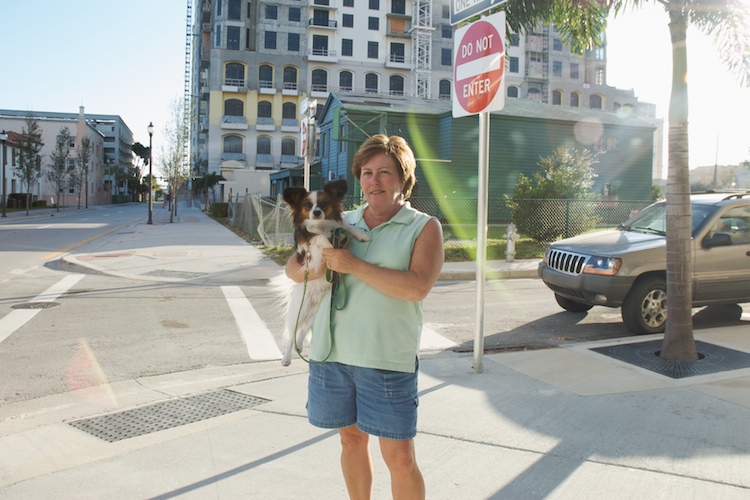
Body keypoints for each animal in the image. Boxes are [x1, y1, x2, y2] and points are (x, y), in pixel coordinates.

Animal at [274, 178, 374, 366]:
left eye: (324, 203)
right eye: (308, 205)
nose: (317, 212)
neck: (320, 225)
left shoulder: (338, 226)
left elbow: (345, 226)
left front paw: (362, 235)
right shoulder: (310, 249)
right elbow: (319, 238)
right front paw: (330, 243)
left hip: (318, 310)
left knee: (305, 329)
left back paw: (300, 344)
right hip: (299, 309)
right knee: (291, 333)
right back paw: (287, 357)